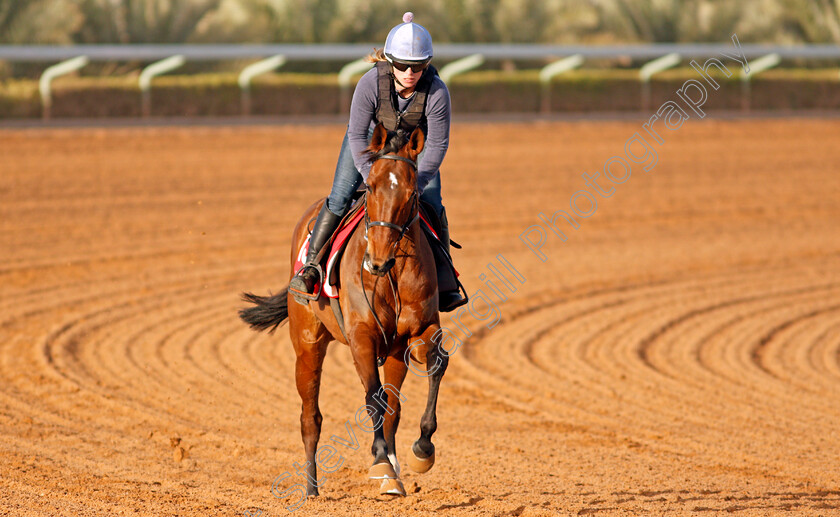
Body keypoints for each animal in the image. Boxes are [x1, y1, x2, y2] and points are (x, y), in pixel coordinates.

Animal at [240, 123, 450, 498]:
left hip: (394, 352)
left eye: (412, 192)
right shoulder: (361, 337)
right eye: (371, 186)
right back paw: (311, 489)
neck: (390, 274)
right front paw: (380, 462)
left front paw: (421, 450)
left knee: (393, 407)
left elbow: (436, 366)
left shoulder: (419, 329)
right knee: (310, 417)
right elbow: (373, 398)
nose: (377, 259)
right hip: (308, 345)